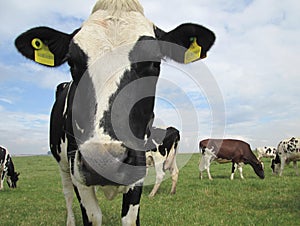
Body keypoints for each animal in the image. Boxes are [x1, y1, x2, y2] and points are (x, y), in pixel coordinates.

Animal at [14, 0, 216, 225]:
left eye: (154, 63)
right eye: (72, 63)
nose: (104, 161)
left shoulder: (138, 167)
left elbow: (130, 218)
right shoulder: (77, 171)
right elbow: (93, 216)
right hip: (64, 164)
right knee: (66, 193)